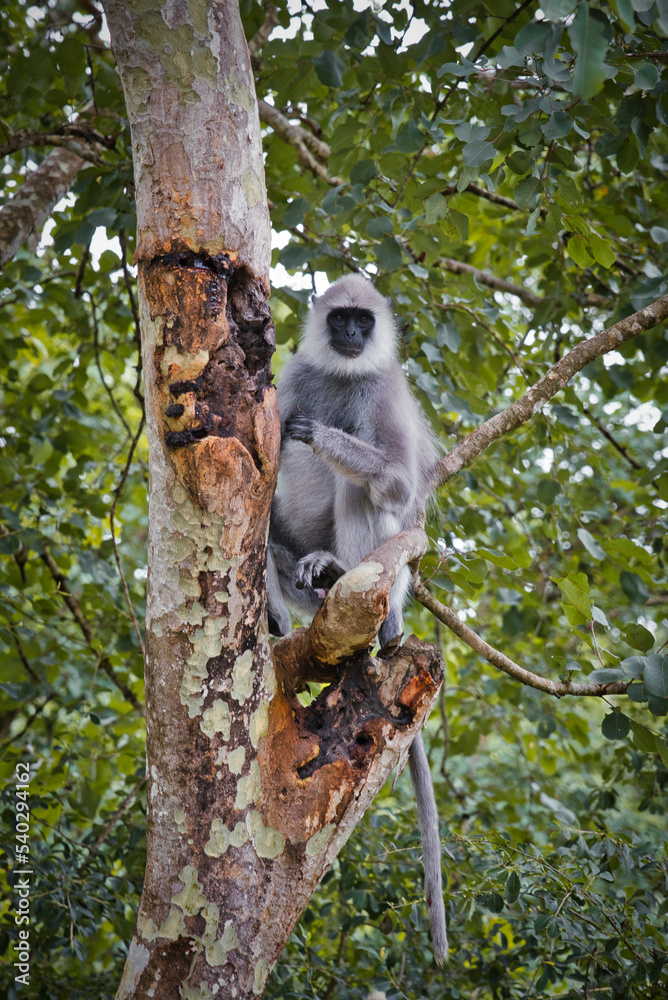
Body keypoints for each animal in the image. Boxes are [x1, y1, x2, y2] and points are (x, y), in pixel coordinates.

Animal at [267, 273, 448, 965]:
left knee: (364, 488)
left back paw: (352, 584)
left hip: (383, 576)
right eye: (339, 318)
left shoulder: (388, 386)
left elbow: (397, 481)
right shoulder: (296, 373)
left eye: (362, 322)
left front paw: (317, 435)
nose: (347, 333)